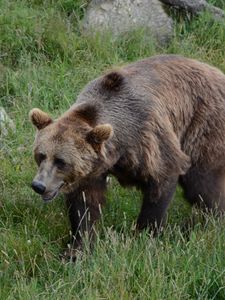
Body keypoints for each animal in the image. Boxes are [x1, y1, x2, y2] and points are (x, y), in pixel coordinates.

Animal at [29, 54, 225, 255]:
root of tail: (217, 72)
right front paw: (77, 248)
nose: (39, 185)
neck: (118, 148)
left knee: (201, 184)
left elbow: (162, 180)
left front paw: (144, 236)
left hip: (202, 124)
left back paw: (204, 224)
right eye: (41, 155)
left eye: (61, 161)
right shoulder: (92, 170)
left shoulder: (147, 139)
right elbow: (85, 204)